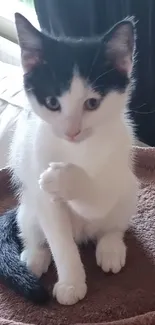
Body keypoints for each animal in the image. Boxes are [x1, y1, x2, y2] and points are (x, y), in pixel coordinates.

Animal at [1, 13, 137, 304]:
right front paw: (72, 283)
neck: (76, 150)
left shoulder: (114, 164)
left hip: (128, 188)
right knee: (32, 229)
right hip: (28, 203)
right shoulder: (39, 176)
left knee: (113, 224)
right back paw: (34, 256)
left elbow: (98, 198)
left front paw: (65, 179)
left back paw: (111, 248)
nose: (71, 131)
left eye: (92, 103)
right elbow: (60, 241)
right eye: (53, 103)